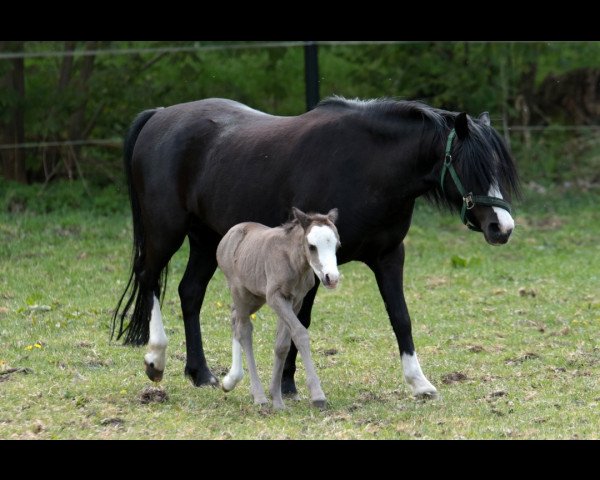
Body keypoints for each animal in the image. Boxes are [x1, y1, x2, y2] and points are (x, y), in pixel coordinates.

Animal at [217, 207, 340, 408]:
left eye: (337, 245)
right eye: (312, 246)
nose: (332, 278)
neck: (292, 261)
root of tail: (229, 234)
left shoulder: (296, 301)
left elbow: (282, 344)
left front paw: (277, 398)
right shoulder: (275, 297)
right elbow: (300, 333)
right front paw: (317, 395)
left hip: (255, 296)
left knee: (234, 317)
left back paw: (230, 381)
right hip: (240, 291)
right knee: (244, 330)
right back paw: (258, 396)